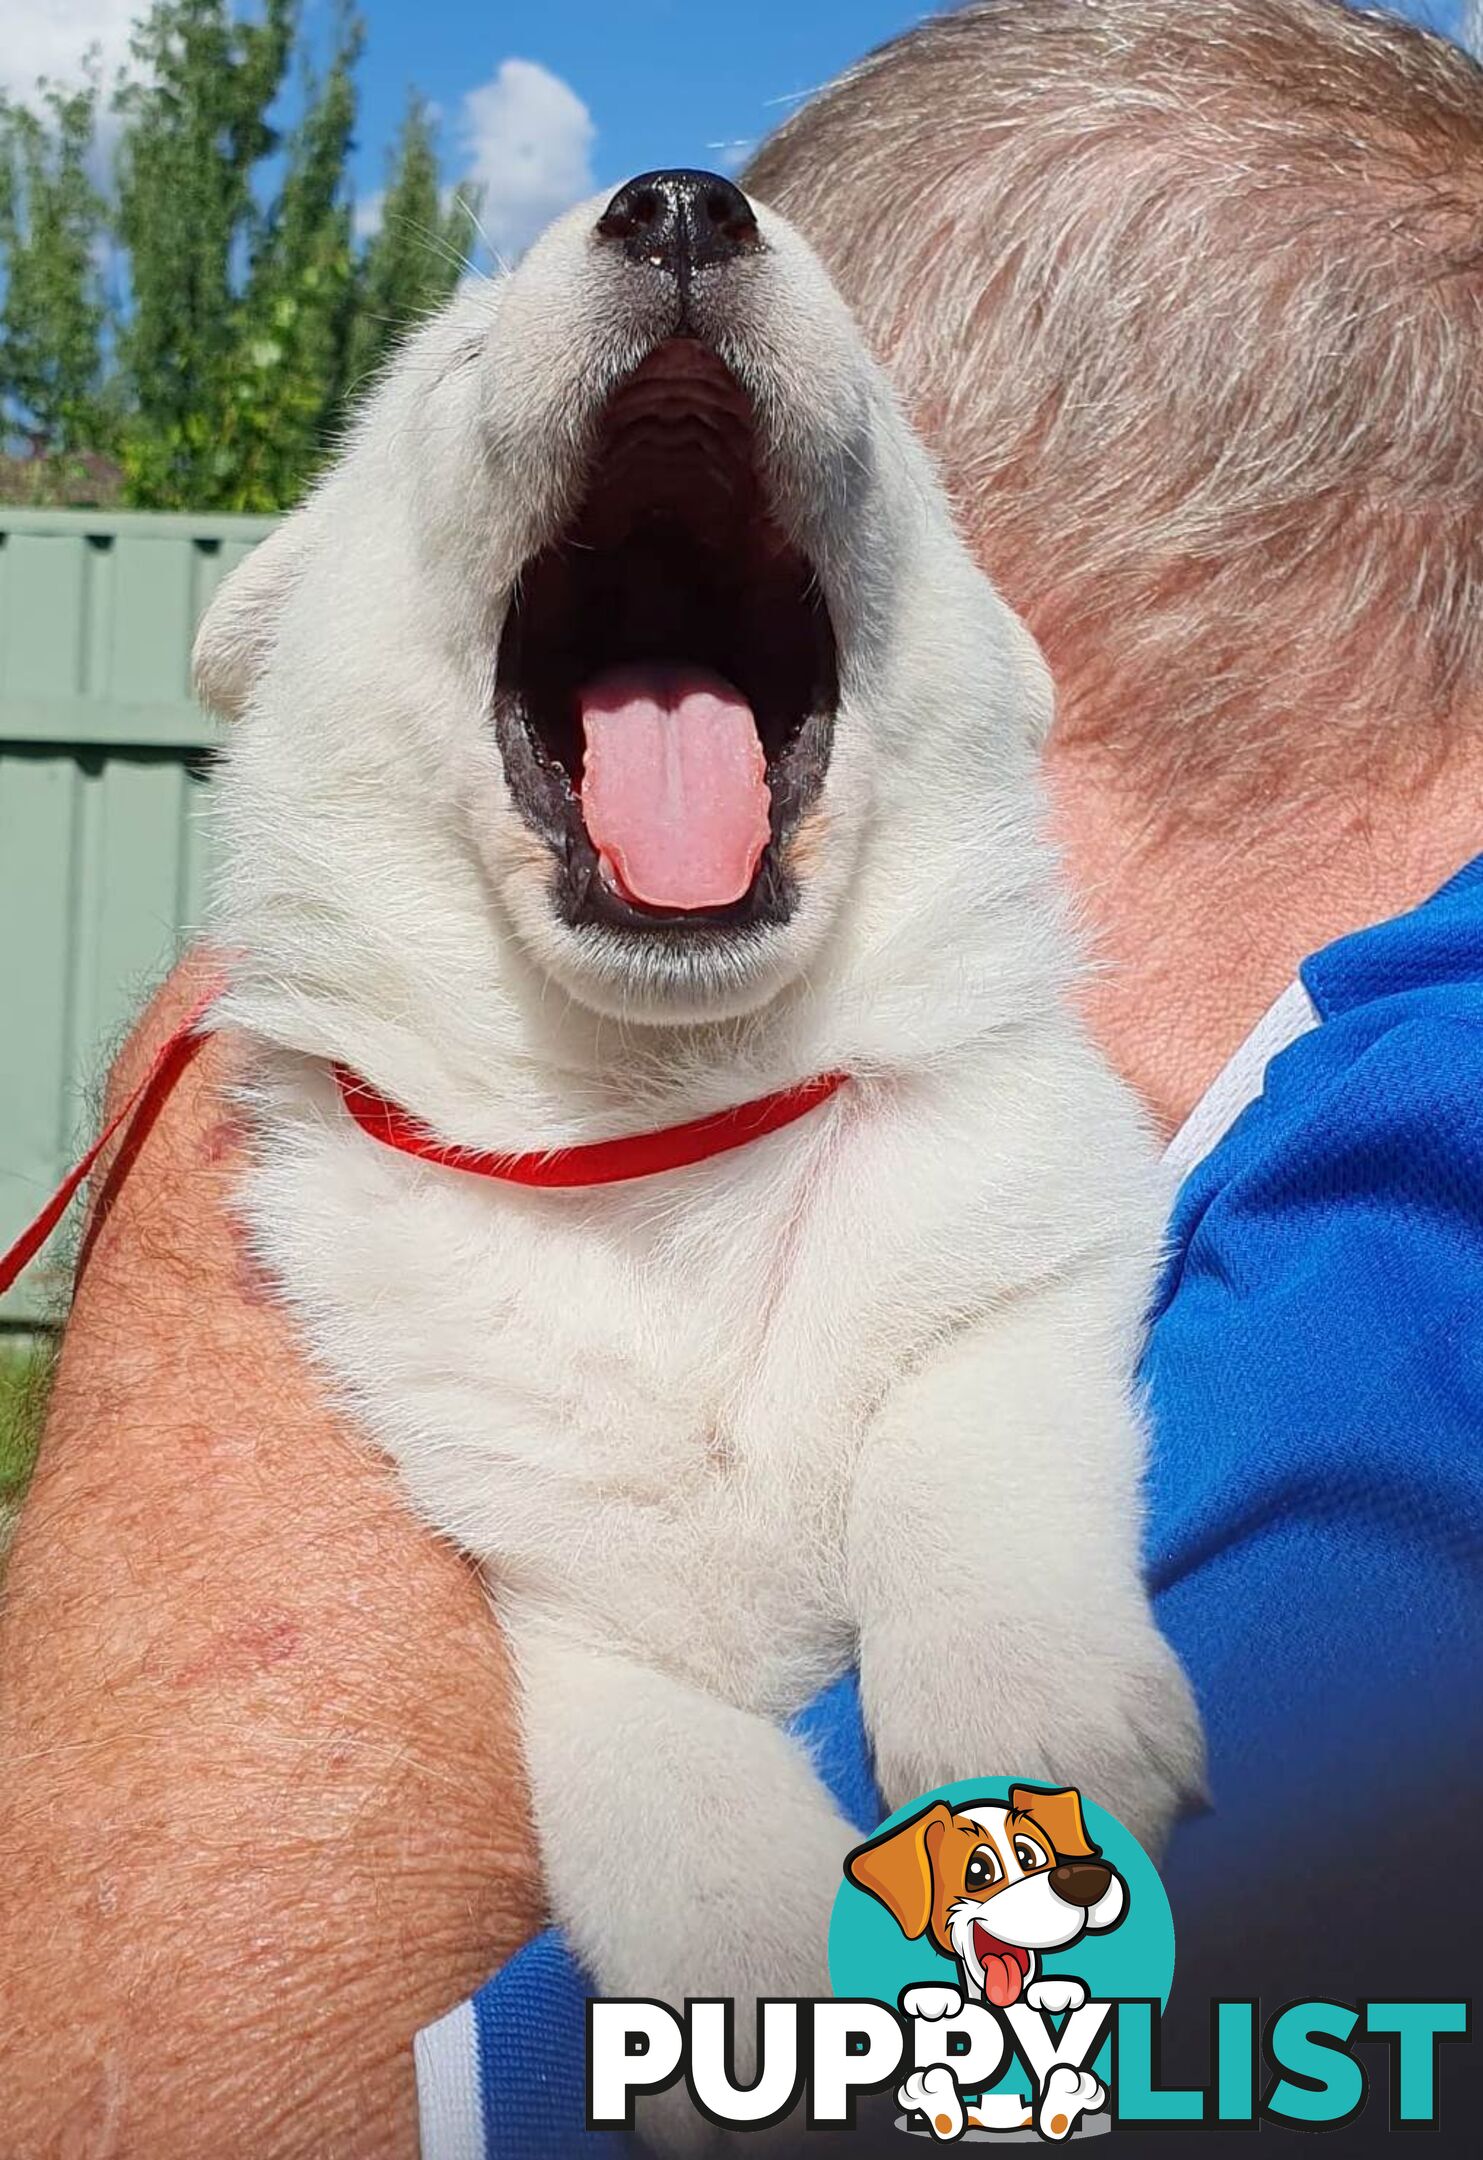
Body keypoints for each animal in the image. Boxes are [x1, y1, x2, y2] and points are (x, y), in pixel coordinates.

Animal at [197, 172, 1200, 2142]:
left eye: (871, 366)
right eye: (453, 353)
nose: (677, 199)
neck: (666, 1122)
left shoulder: (1049, 1209)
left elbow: (955, 1414)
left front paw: (1021, 1708)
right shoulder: (536, 1581)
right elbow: (649, 1771)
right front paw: (763, 2016)